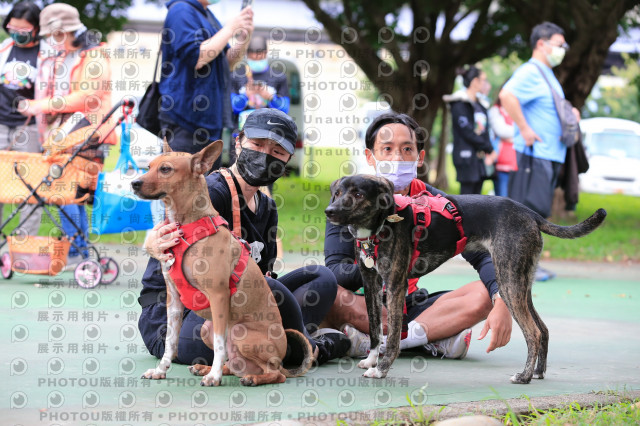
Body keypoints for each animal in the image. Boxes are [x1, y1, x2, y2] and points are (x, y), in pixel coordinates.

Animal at [131, 141, 312, 386]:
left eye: (166, 169)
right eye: (149, 166)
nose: (134, 183)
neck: (189, 228)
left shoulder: (218, 297)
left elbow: (219, 345)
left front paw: (214, 377)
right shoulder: (174, 300)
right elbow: (170, 341)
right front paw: (161, 370)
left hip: (241, 334)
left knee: (275, 373)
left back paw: (250, 377)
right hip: (207, 329)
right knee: (233, 364)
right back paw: (206, 368)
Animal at [324, 175, 604, 384]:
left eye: (359, 194)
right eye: (337, 192)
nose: (329, 211)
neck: (382, 223)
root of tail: (529, 213)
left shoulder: (394, 286)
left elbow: (391, 337)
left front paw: (381, 370)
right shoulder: (370, 283)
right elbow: (374, 329)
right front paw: (372, 360)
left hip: (508, 282)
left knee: (533, 332)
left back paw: (523, 376)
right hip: (521, 283)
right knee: (543, 328)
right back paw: (537, 372)